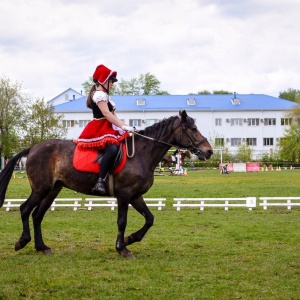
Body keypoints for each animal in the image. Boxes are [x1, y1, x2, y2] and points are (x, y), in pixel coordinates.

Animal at [0, 110, 213, 258]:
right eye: (193, 129)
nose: (209, 151)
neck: (142, 154)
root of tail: (33, 148)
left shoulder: (136, 196)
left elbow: (150, 219)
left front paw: (129, 239)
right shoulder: (124, 195)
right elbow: (122, 221)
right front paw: (122, 248)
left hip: (53, 190)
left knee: (37, 215)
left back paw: (42, 247)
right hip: (41, 188)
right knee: (25, 209)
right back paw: (22, 242)